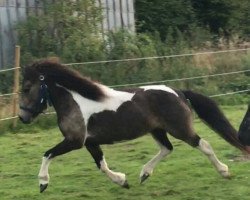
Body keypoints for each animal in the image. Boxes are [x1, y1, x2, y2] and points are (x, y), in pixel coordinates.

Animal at [19, 60, 246, 192]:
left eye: (27, 88)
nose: (22, 117)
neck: (75, 102)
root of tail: (178, 92)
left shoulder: (74, 141)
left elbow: (47, 154)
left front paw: (43, 183)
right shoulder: (89, 142)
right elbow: (101, 165)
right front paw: (122, 181)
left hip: (180, 129)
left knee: (203, 145)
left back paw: (225, 172)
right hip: (157, 130)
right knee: (167, 148)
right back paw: (144, 174)